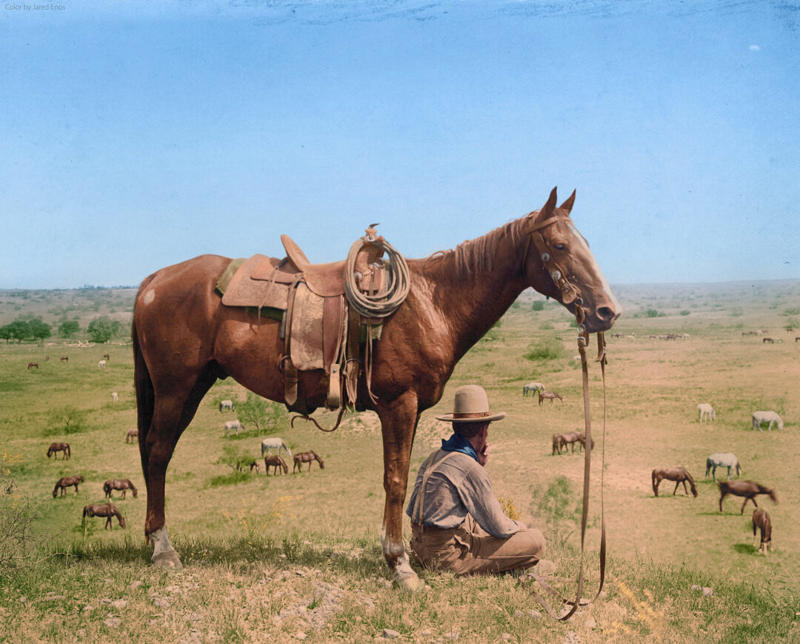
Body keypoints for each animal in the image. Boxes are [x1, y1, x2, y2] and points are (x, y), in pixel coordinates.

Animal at [131, 187, 620, 588]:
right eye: (560, 245)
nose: (606, 311)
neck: (432, 302)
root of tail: (153, 281)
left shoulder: (413, 407)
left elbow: (403, 477)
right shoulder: (398, 404)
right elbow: (396, 480)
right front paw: (400, 565)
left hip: (194, 386)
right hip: (176, 388)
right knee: (157, 453)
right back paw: (163, 549)